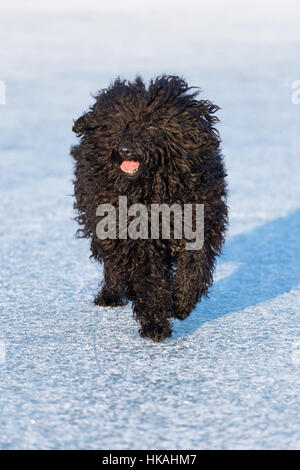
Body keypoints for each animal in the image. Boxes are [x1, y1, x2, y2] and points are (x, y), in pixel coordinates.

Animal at [71, 76, 227, 342]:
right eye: (120, 125)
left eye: (152, 127)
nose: (124, 149)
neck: (155, 189)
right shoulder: (132, 236)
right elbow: (148, 279)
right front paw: (155, 324)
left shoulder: (199, 222)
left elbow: (194, 268)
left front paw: (181, 303)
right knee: (112, 264)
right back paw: (110, 294)